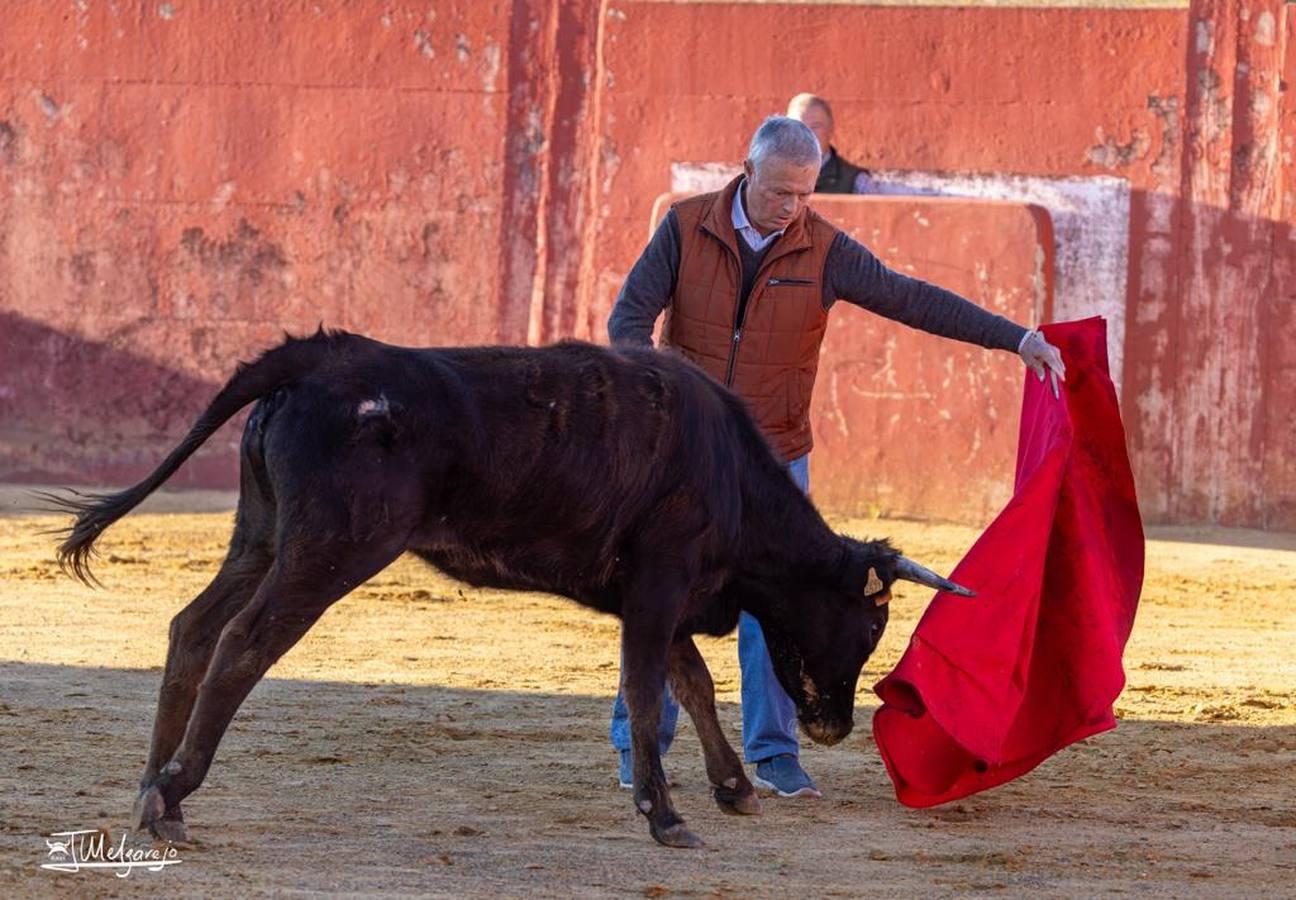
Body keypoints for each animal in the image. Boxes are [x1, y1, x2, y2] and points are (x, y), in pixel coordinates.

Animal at [43, 331, 974, 850]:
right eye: (870, 626)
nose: (833, 727)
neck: (730, 475)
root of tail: (328, 356)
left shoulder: (654, 597)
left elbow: (693, 686)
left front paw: (734, 790)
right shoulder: (661, 582)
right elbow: (649, 693)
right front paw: (665, 816)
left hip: (262, 533)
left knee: (192, 629)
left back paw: (153, 789)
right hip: (329, 552)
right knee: (243, 643)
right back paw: (173, 793)